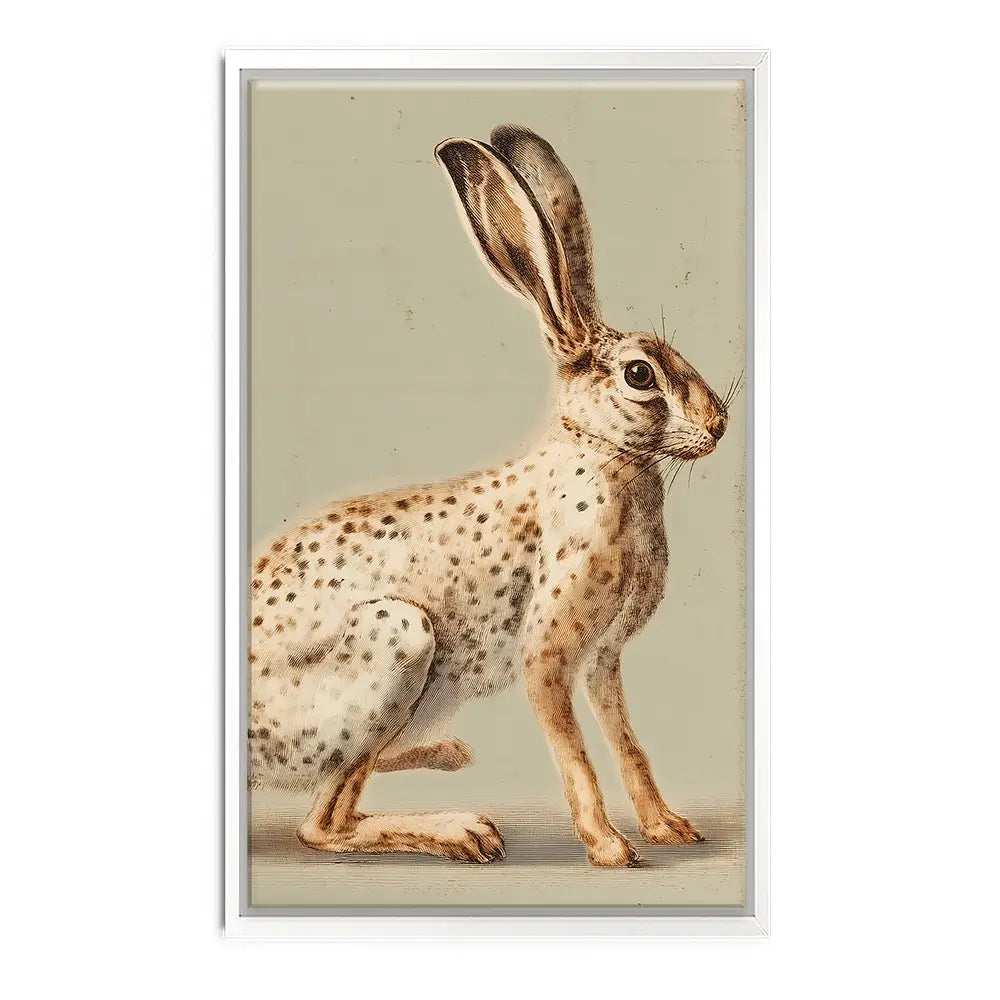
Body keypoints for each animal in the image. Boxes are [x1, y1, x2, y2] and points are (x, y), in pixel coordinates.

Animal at [248, 124, 730, 867]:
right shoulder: (547, 656)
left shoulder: (604, 660)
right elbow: (577, 759)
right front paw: (610, 848)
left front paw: (667, 827)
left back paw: (448, 756)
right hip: (399, 645)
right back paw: (464, 831)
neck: (606, 457)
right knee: (323, 824)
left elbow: (628, 744)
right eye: (640, 375)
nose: (719, 425)